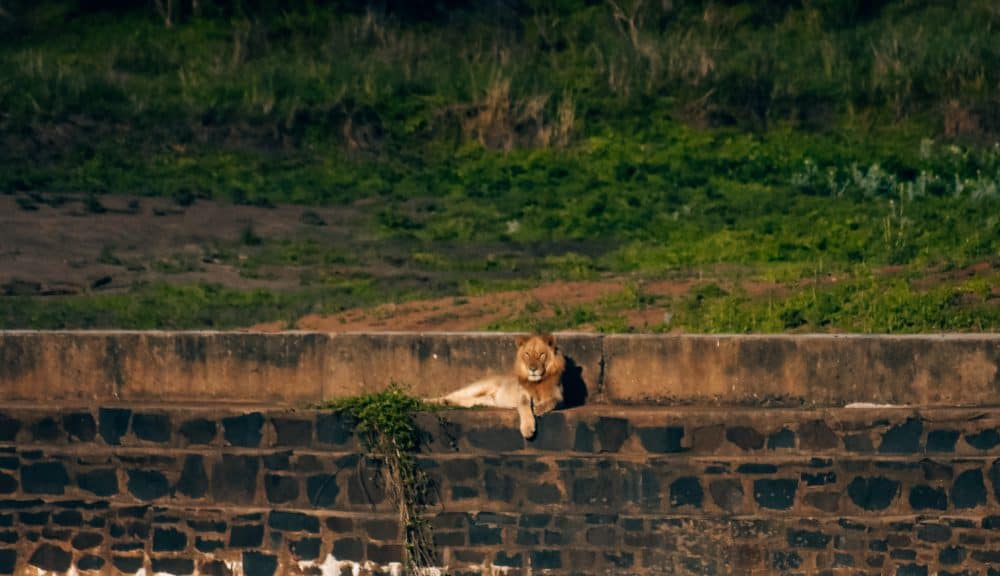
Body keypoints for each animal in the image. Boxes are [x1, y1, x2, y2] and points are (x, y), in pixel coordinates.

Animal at [434, 332, 568, 436]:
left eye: (541, 354)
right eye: (527, 354)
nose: (533, 369)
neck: (538, 382)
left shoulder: (560, 396)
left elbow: (553, 401)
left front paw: (539, 408)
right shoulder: (522, 394)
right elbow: (524, 406)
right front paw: (527, 429)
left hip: (481, 401)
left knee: (464, 401)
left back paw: (446, 403)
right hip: (478, 387)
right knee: (452, 394)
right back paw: (434, 401)